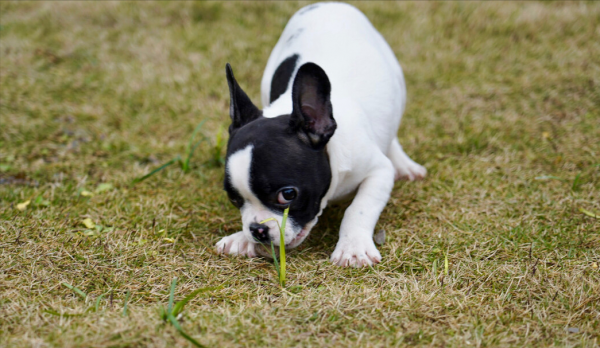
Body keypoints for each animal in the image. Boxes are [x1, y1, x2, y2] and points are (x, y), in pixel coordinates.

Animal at [216, 2, 426, 266]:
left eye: (287, 195)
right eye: (234, 198)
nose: (258, 230)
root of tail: (327, 4)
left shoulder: (378, 171)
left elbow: (359, 209)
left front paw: (352, 247)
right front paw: (242, 238)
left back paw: (404, 164)